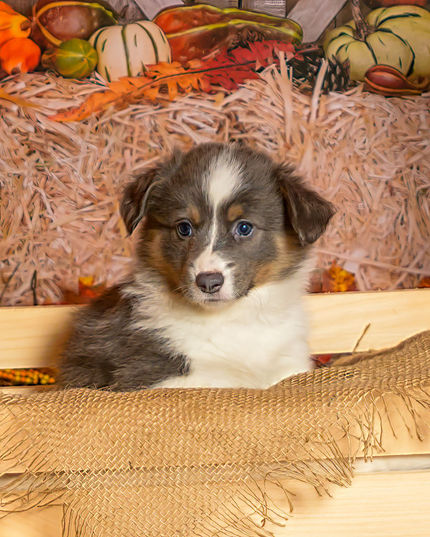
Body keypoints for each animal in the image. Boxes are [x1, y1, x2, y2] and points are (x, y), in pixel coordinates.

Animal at [59, 143, 334, 391]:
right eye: (184, 227)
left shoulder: (290, 363)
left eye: (244, 227)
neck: (231, 318)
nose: (208, 282)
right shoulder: (153, 375)